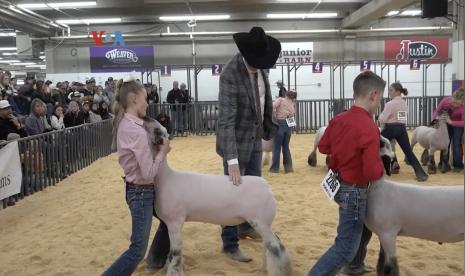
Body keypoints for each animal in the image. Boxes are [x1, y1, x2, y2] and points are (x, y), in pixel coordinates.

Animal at [143, 117, 292, 276]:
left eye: (158, 130)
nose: (146, 117)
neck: (166, 178)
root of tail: (267, 186)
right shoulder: (170, 223)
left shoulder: (175, 222)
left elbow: (175, 253)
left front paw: (174, 271)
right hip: (264, 223)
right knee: (271, 243)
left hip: (261, 221)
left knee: (276, 246)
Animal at [366, 136, 460, 276]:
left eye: (382, 143)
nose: (380, 136)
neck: (379, 189)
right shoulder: (382, 234)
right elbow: (380, 264)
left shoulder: (388, 233)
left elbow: (390, 268)